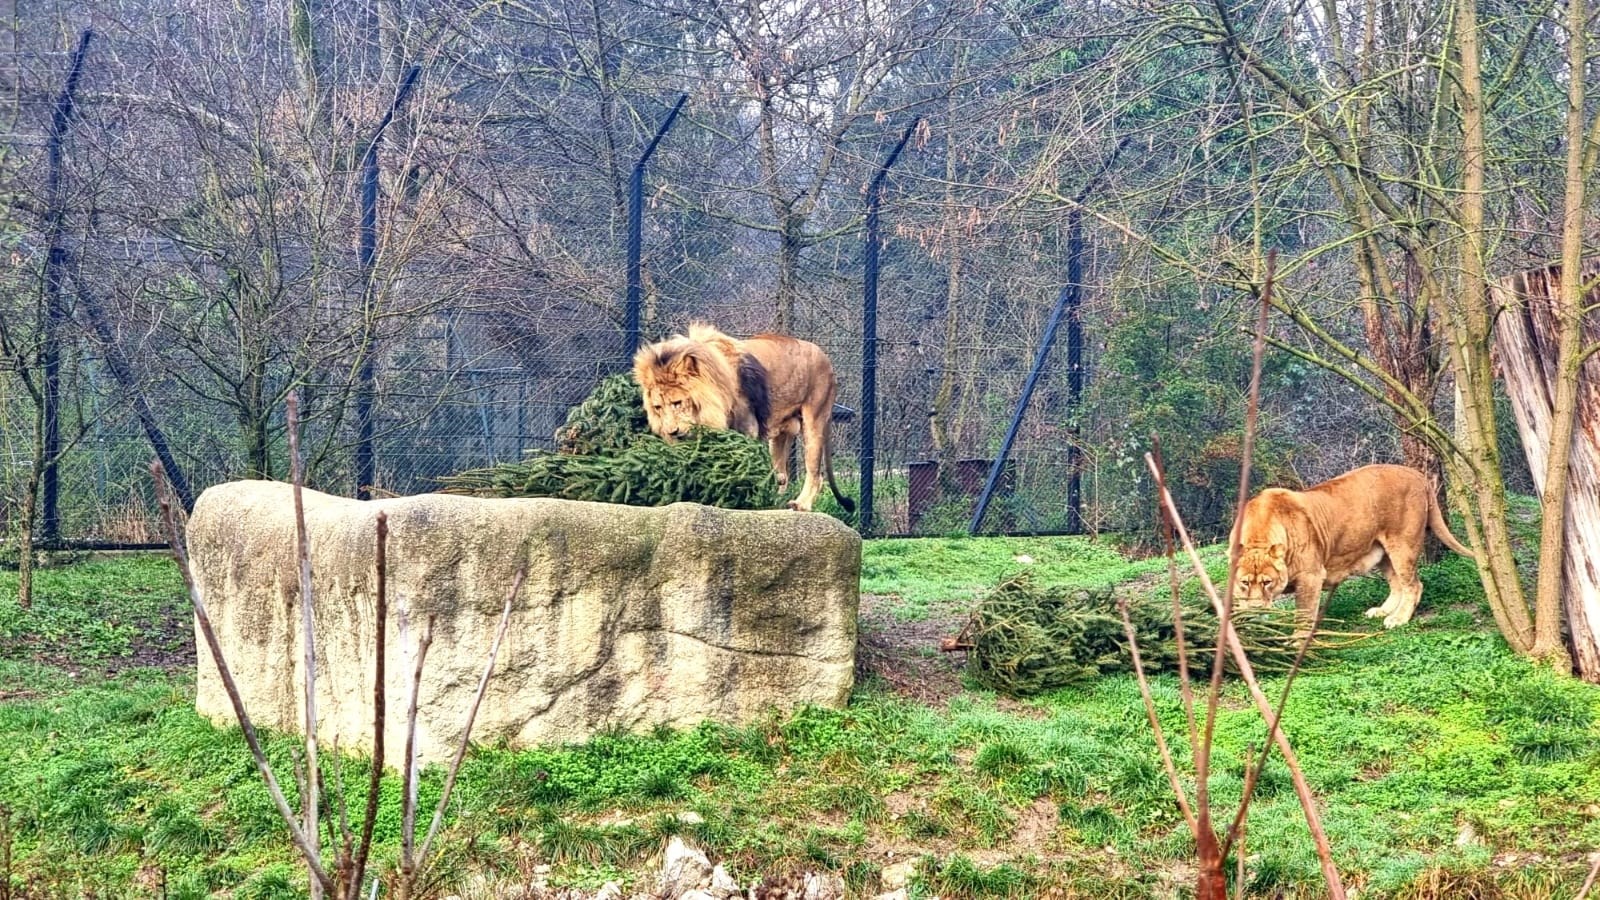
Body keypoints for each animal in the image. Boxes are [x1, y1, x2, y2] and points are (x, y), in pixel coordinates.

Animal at [630, 320, 857, 512]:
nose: (672, 432)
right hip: (780, 434)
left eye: (677, 403)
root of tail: (825, 358)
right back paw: (773, 500)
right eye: (658, 407)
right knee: (782, 474)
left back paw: (801, 504)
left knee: (815, 473)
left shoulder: (748, 429)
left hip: (814, 420)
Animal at [1235, 461, 1472, 624]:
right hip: (1382, 551)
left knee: (1414, 585)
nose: (1256, 607)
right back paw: (1383, 611)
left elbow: (1304, 615)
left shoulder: (1311, 576)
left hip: (1403, 546)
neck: (1258, 537)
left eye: (1267, 582)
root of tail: (1417, 474)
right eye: (1245, 582)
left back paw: (1398, 619)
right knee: (1396, 583)